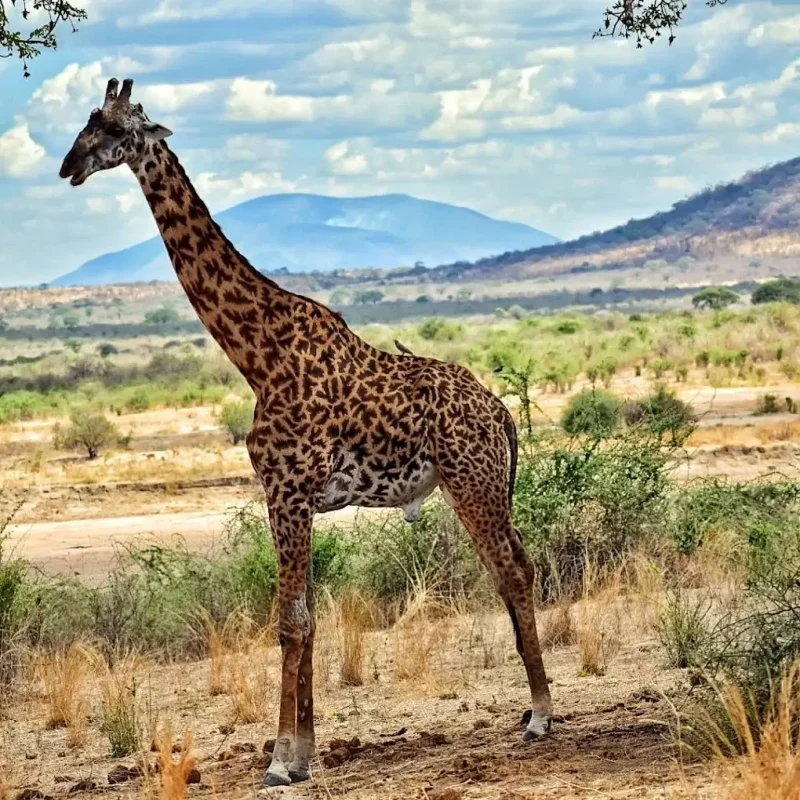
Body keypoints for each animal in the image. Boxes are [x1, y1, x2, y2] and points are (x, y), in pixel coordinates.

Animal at [59, 78, 553, 786]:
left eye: (114, 128)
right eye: (87, 120)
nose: (68, 165)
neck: (257, 353)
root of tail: (501, 412)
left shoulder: (285, 491)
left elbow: (289, 622)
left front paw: (279, 761)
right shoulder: (297, 498)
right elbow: (311, 618)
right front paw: (306, 754)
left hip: (473, 481)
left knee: (512, 569)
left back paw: (541, 715)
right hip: (486, 484)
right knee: (520, 564)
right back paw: (534, 709)